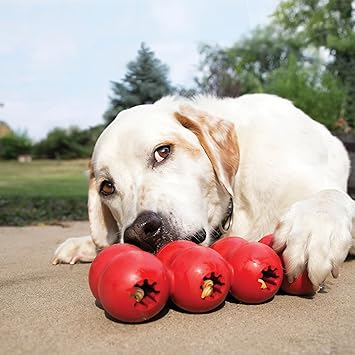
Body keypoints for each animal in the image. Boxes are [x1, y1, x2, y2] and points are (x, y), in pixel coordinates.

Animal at [52, 94, 355, 290]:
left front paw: (313, 229)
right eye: (107, 186)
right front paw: (87, 243)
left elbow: (329, 197)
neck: (236, 196)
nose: (139, 232)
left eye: (163, 151)